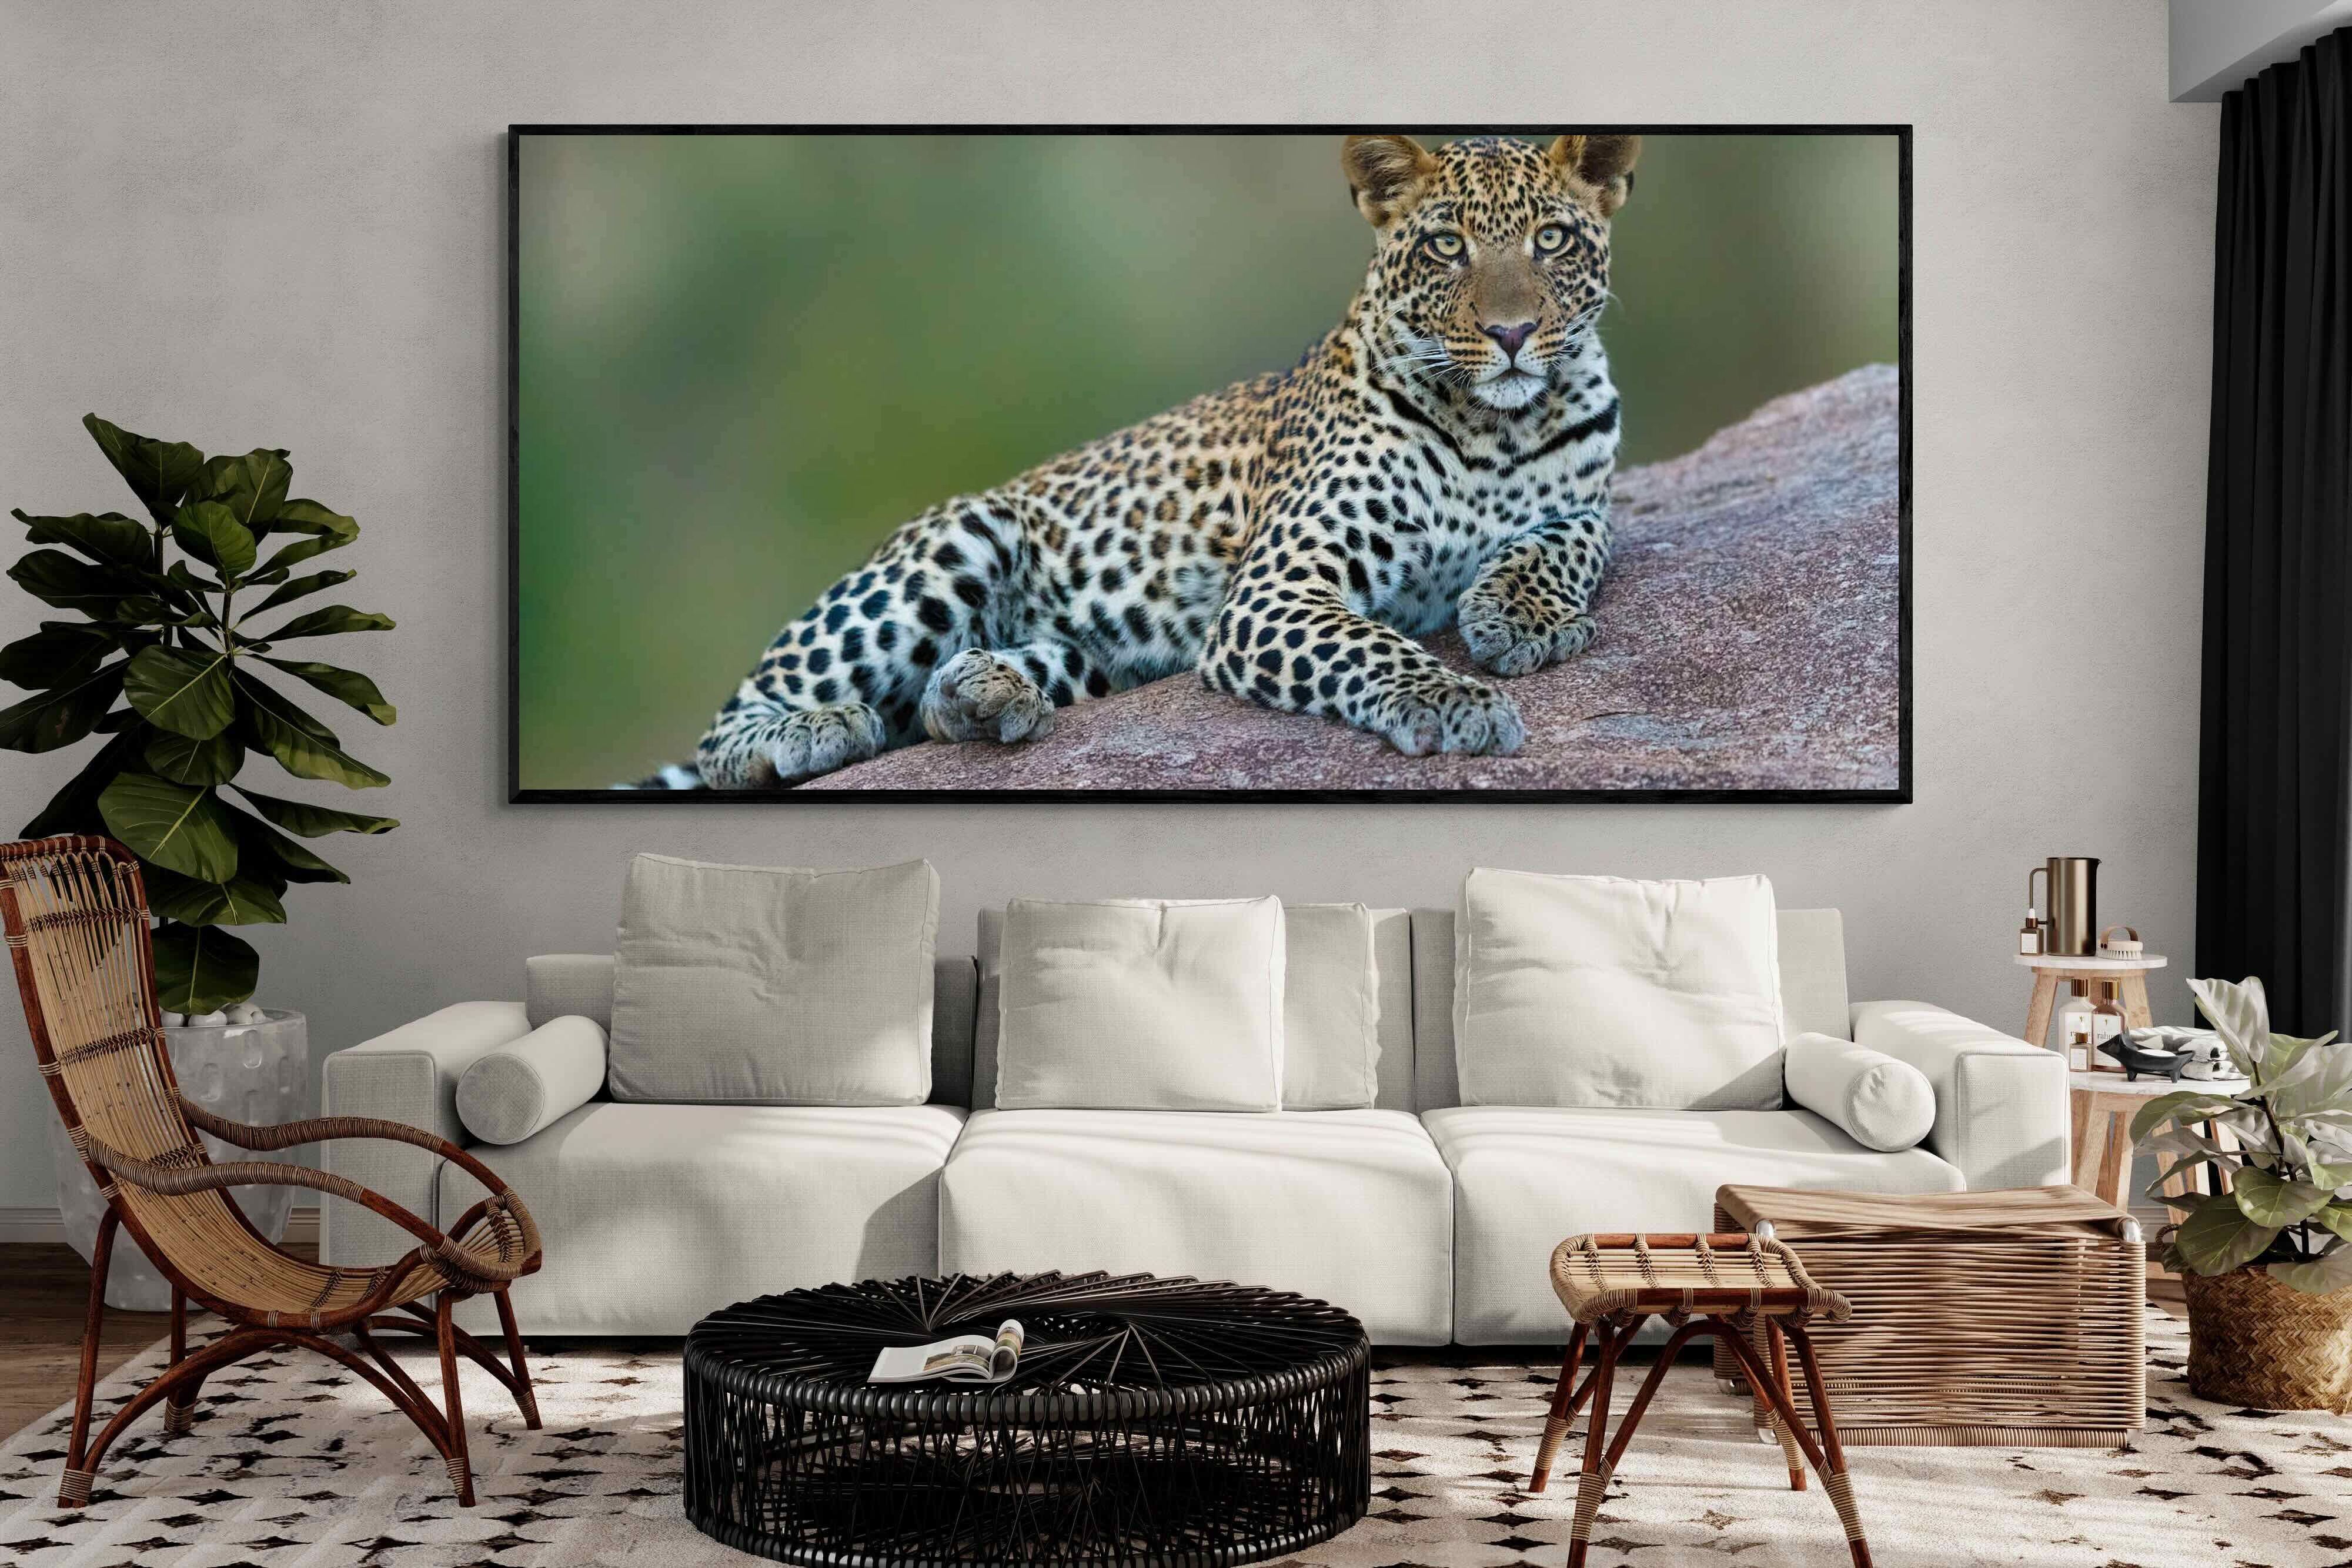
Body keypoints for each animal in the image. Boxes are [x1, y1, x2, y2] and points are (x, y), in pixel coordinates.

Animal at [637, 131, 1639, 790]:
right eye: (1445, 246)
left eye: (1551, 239)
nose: (1512, 333)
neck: (1497, 429)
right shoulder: (1276, 590)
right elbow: (1374, 645)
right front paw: (1455, 700)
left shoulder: (1588, 501)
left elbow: (1568, 541)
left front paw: (1521, 616)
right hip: (956, 542)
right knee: (736, 724)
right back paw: (813, 730)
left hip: (1097, 657)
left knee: (932, 702)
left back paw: (983, 693)